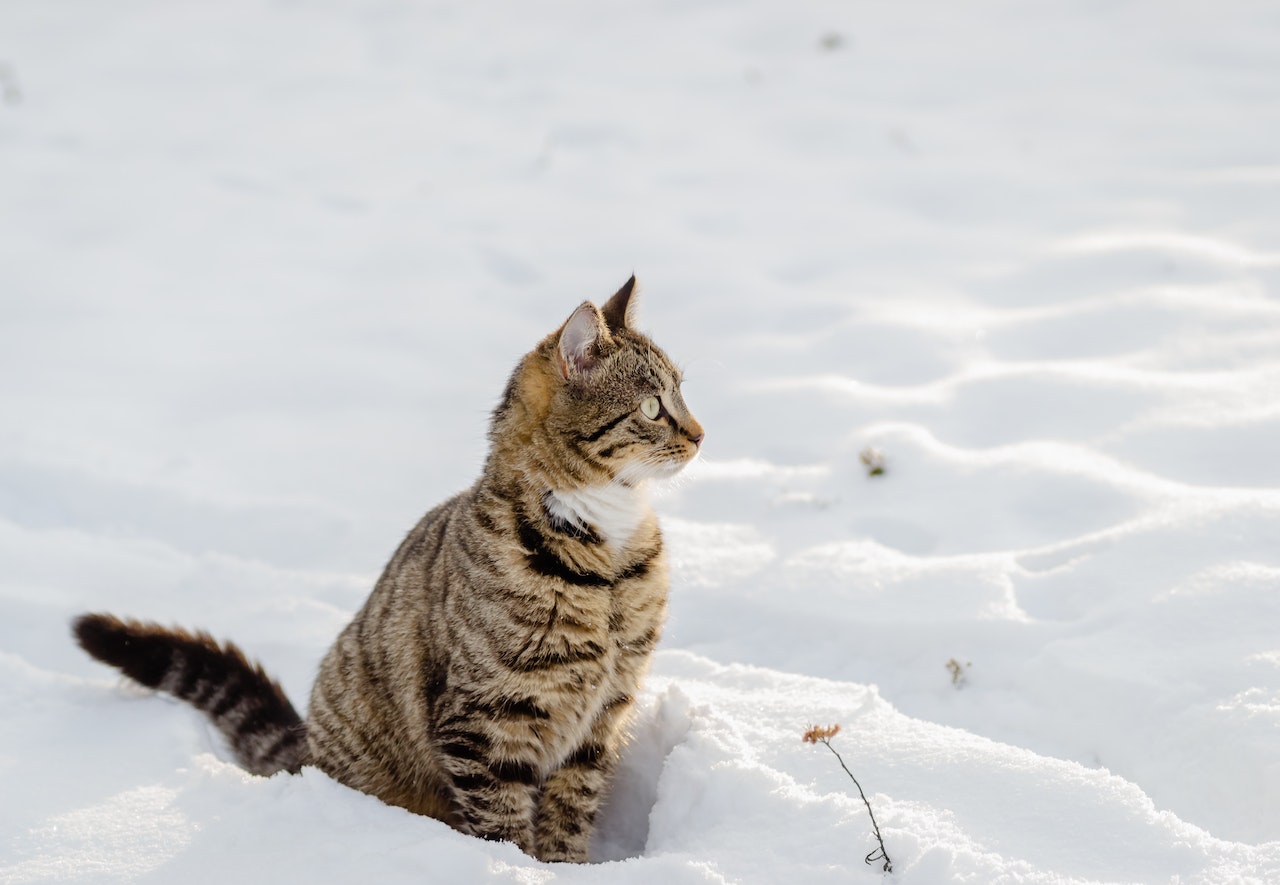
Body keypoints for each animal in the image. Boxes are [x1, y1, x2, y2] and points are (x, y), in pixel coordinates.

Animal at [74, 279, 706, 865]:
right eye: (652, 406)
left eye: (682, 393)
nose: (701, 436)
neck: (606, 553)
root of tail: (308, 751)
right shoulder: (484, 720)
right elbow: (501, 821)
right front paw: (516, 867)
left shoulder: (603, 716)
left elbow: (571, 810)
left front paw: (564, 867)